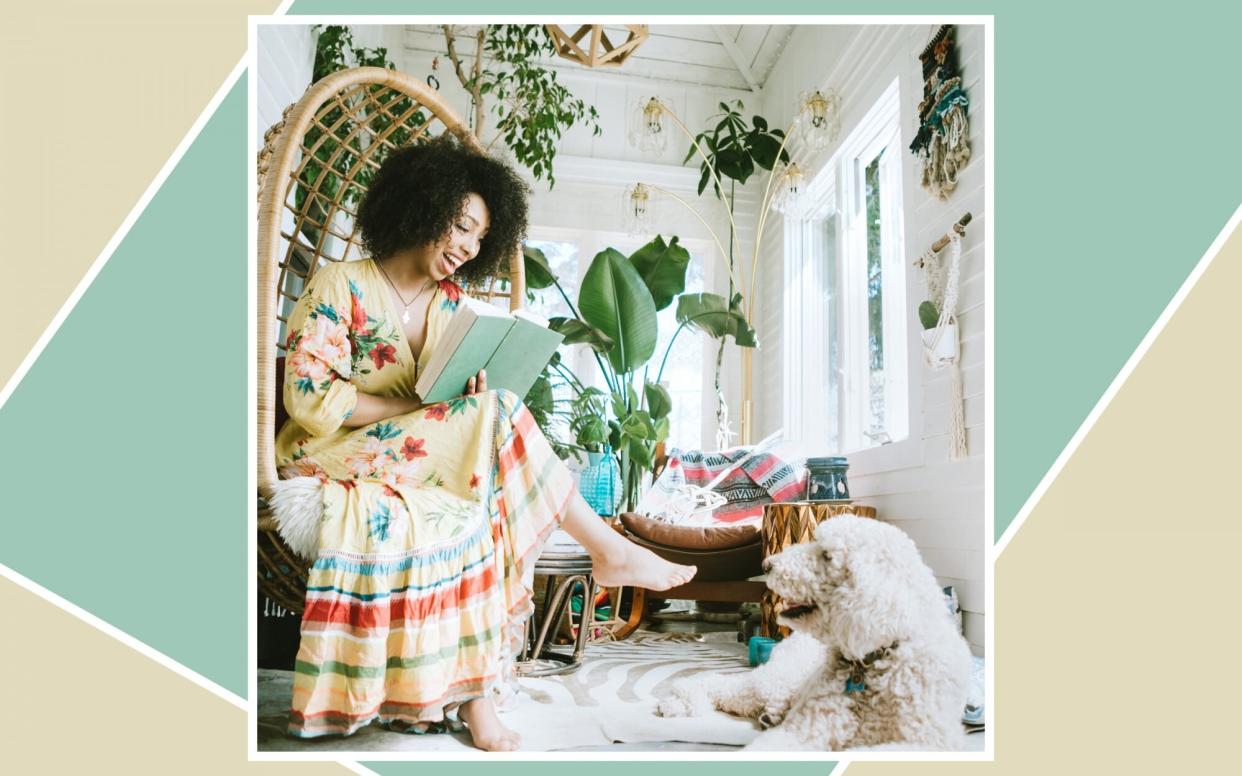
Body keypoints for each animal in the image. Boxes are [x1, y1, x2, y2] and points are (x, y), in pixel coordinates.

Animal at [655, 514, 973, 749]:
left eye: (827, 555)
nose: (766, 565)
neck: (876, 658)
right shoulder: (806, 729)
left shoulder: (926, 741)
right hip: (779, 679)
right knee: (719, 684)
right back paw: (678, 703)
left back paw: (770, 714)